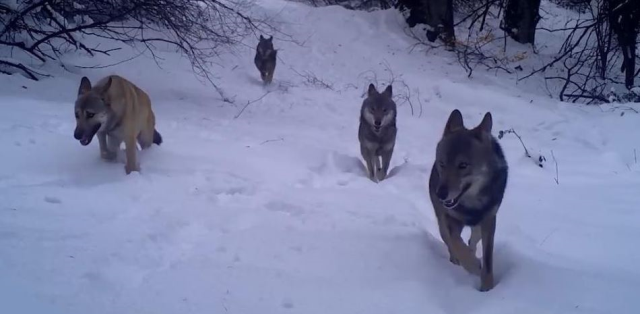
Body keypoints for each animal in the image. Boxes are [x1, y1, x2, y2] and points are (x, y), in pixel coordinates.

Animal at [428, 108, 508, 292]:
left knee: (473, 240)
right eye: (442, 163)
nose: (440, 194)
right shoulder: (450, 221)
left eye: (463, 165)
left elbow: (487, 260)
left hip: (479, 227)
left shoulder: (489, 220)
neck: (472, 204)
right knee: (451, 243)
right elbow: (456, 244)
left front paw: (487, 288)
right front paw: (472, 265)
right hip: (442, 223)